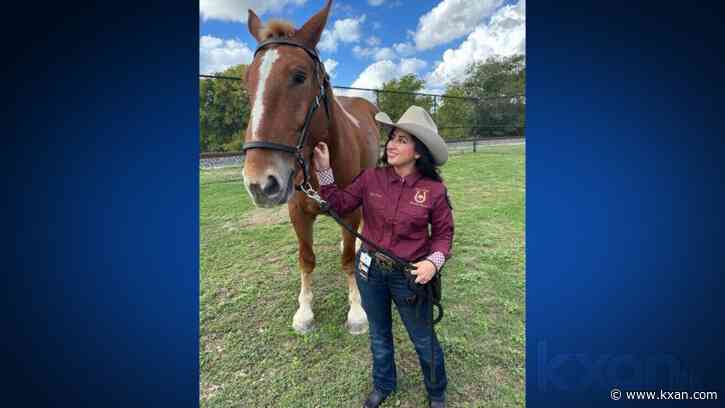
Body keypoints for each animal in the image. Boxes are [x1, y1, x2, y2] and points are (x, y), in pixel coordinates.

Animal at [241, 0, 380, 335]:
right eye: (247, 82)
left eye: (300, 76)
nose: (259, 184)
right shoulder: (297, 213)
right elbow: (306, 259)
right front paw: (304, 312)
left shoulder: (350, 211)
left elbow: (346, 259)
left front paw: (357, 312)